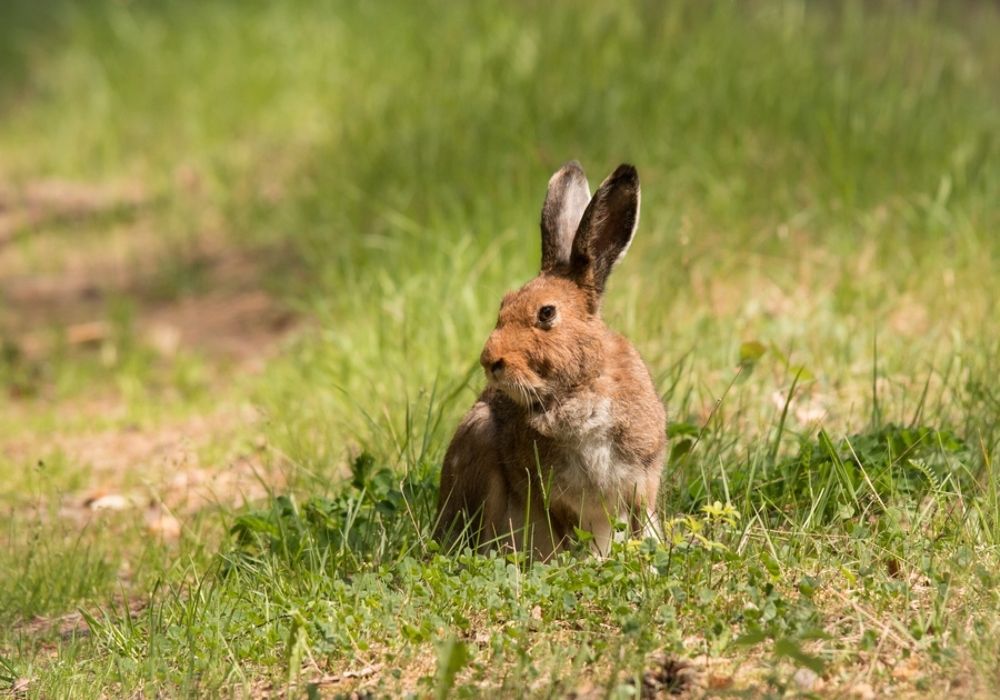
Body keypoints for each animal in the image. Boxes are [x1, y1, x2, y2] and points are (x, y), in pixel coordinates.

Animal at [434, 161, 666, 559]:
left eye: (546, 313)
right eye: (503, 305)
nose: (489, 360)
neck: (580, 387)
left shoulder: (642, 481)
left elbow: (641, 526)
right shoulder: (556, 498)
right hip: (480, 442)